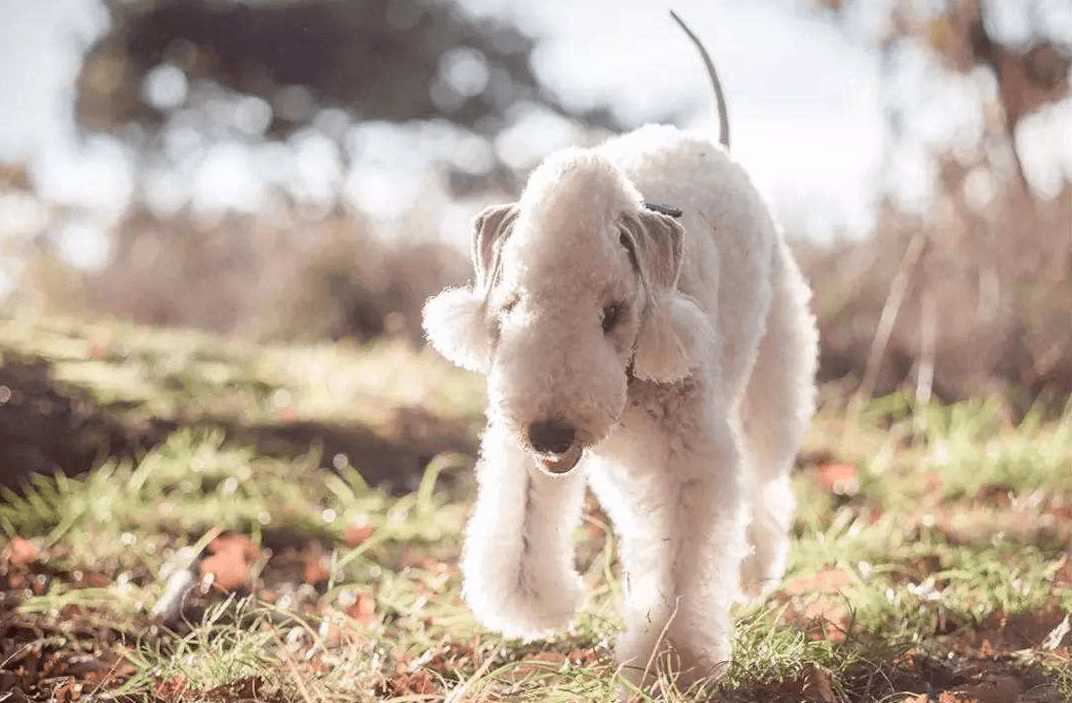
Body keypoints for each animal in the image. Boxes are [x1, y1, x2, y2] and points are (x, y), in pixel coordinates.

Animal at [422, 12, 814, 690]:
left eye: (611, 313)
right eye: (513, 304)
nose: (551, 432)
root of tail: (713, 143)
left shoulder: (690, 457)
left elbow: (682, 565)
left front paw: (671, 663)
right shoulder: (521, 442)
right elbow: (524, 518)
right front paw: (529, 605)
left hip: (771, 376)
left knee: (763, 485)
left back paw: (749, 571)